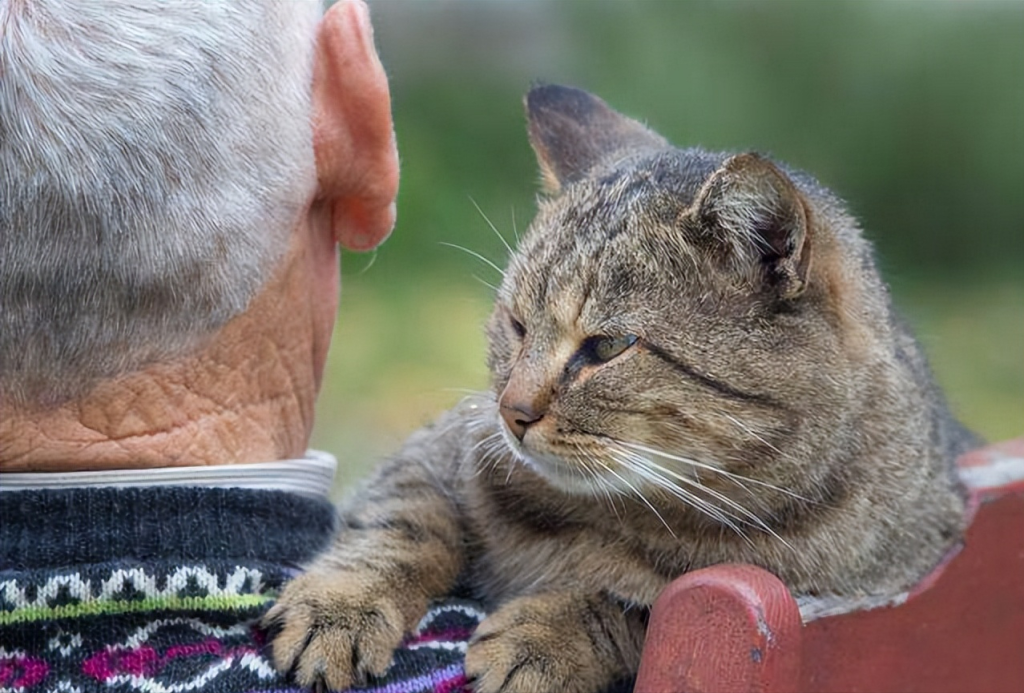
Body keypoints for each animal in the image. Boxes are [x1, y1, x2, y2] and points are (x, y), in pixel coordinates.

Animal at [264, 84, 974, 691]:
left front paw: (547, 635)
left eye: (606, 348)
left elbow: (643, 610)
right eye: (517, 325)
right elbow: (400, 522)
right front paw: (339, 608)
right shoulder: (440, 448)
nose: (511, 412)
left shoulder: (808, 596)